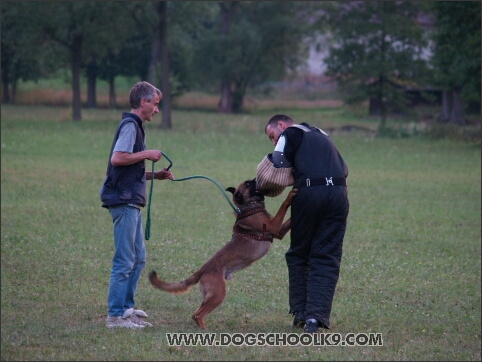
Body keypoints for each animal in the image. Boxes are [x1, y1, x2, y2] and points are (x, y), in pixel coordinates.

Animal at [149, 178, 296, 328]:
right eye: (248, 184)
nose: (255, 179)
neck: (249, 207)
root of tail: (203, 270)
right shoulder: (274, 226)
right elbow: (283, 207)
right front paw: (290, 195)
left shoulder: (279, 232)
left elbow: (289, 220)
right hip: (218, 294)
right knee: (197, 315)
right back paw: (204, 329)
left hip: (210, 296)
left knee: (195, 312)